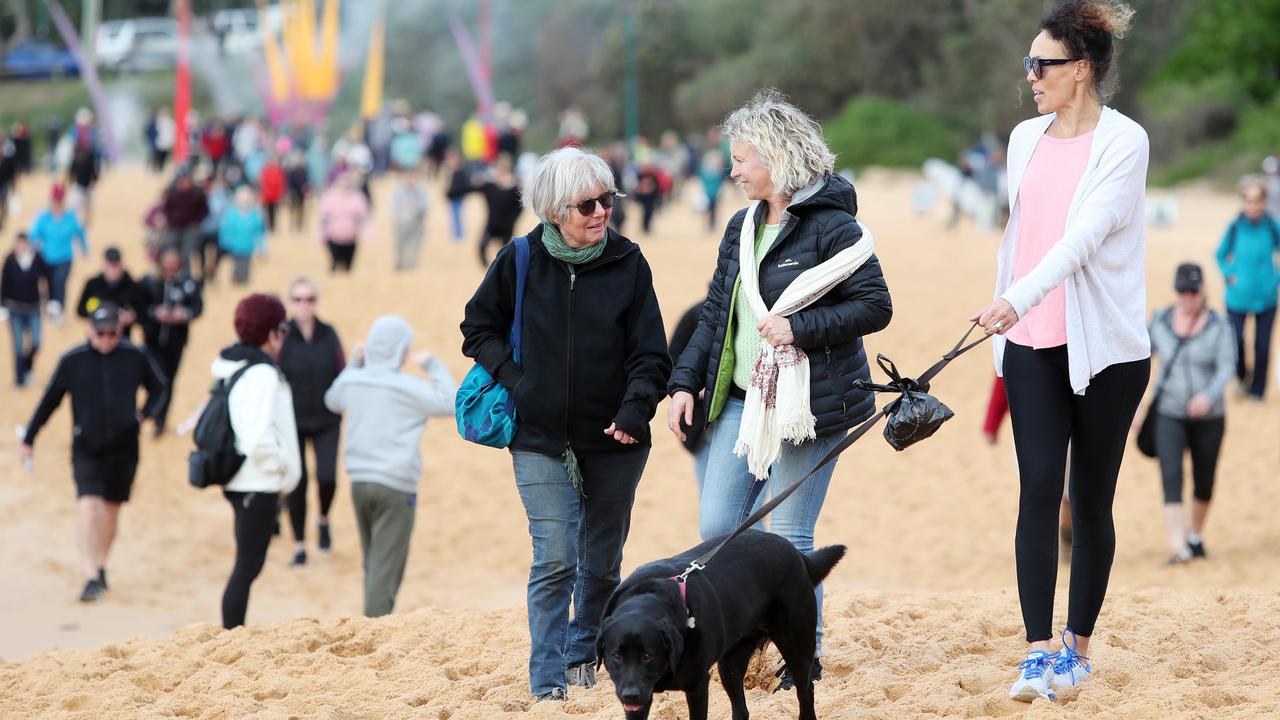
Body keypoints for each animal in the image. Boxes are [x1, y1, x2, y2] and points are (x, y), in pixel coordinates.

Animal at [593, 527, 844, 717]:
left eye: (648, 655)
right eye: (616, 656)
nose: (630, 694)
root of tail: (798, 554)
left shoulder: (697, 685)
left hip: (796, 646)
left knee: (805, 691)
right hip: (731, 662)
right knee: (741, 709)